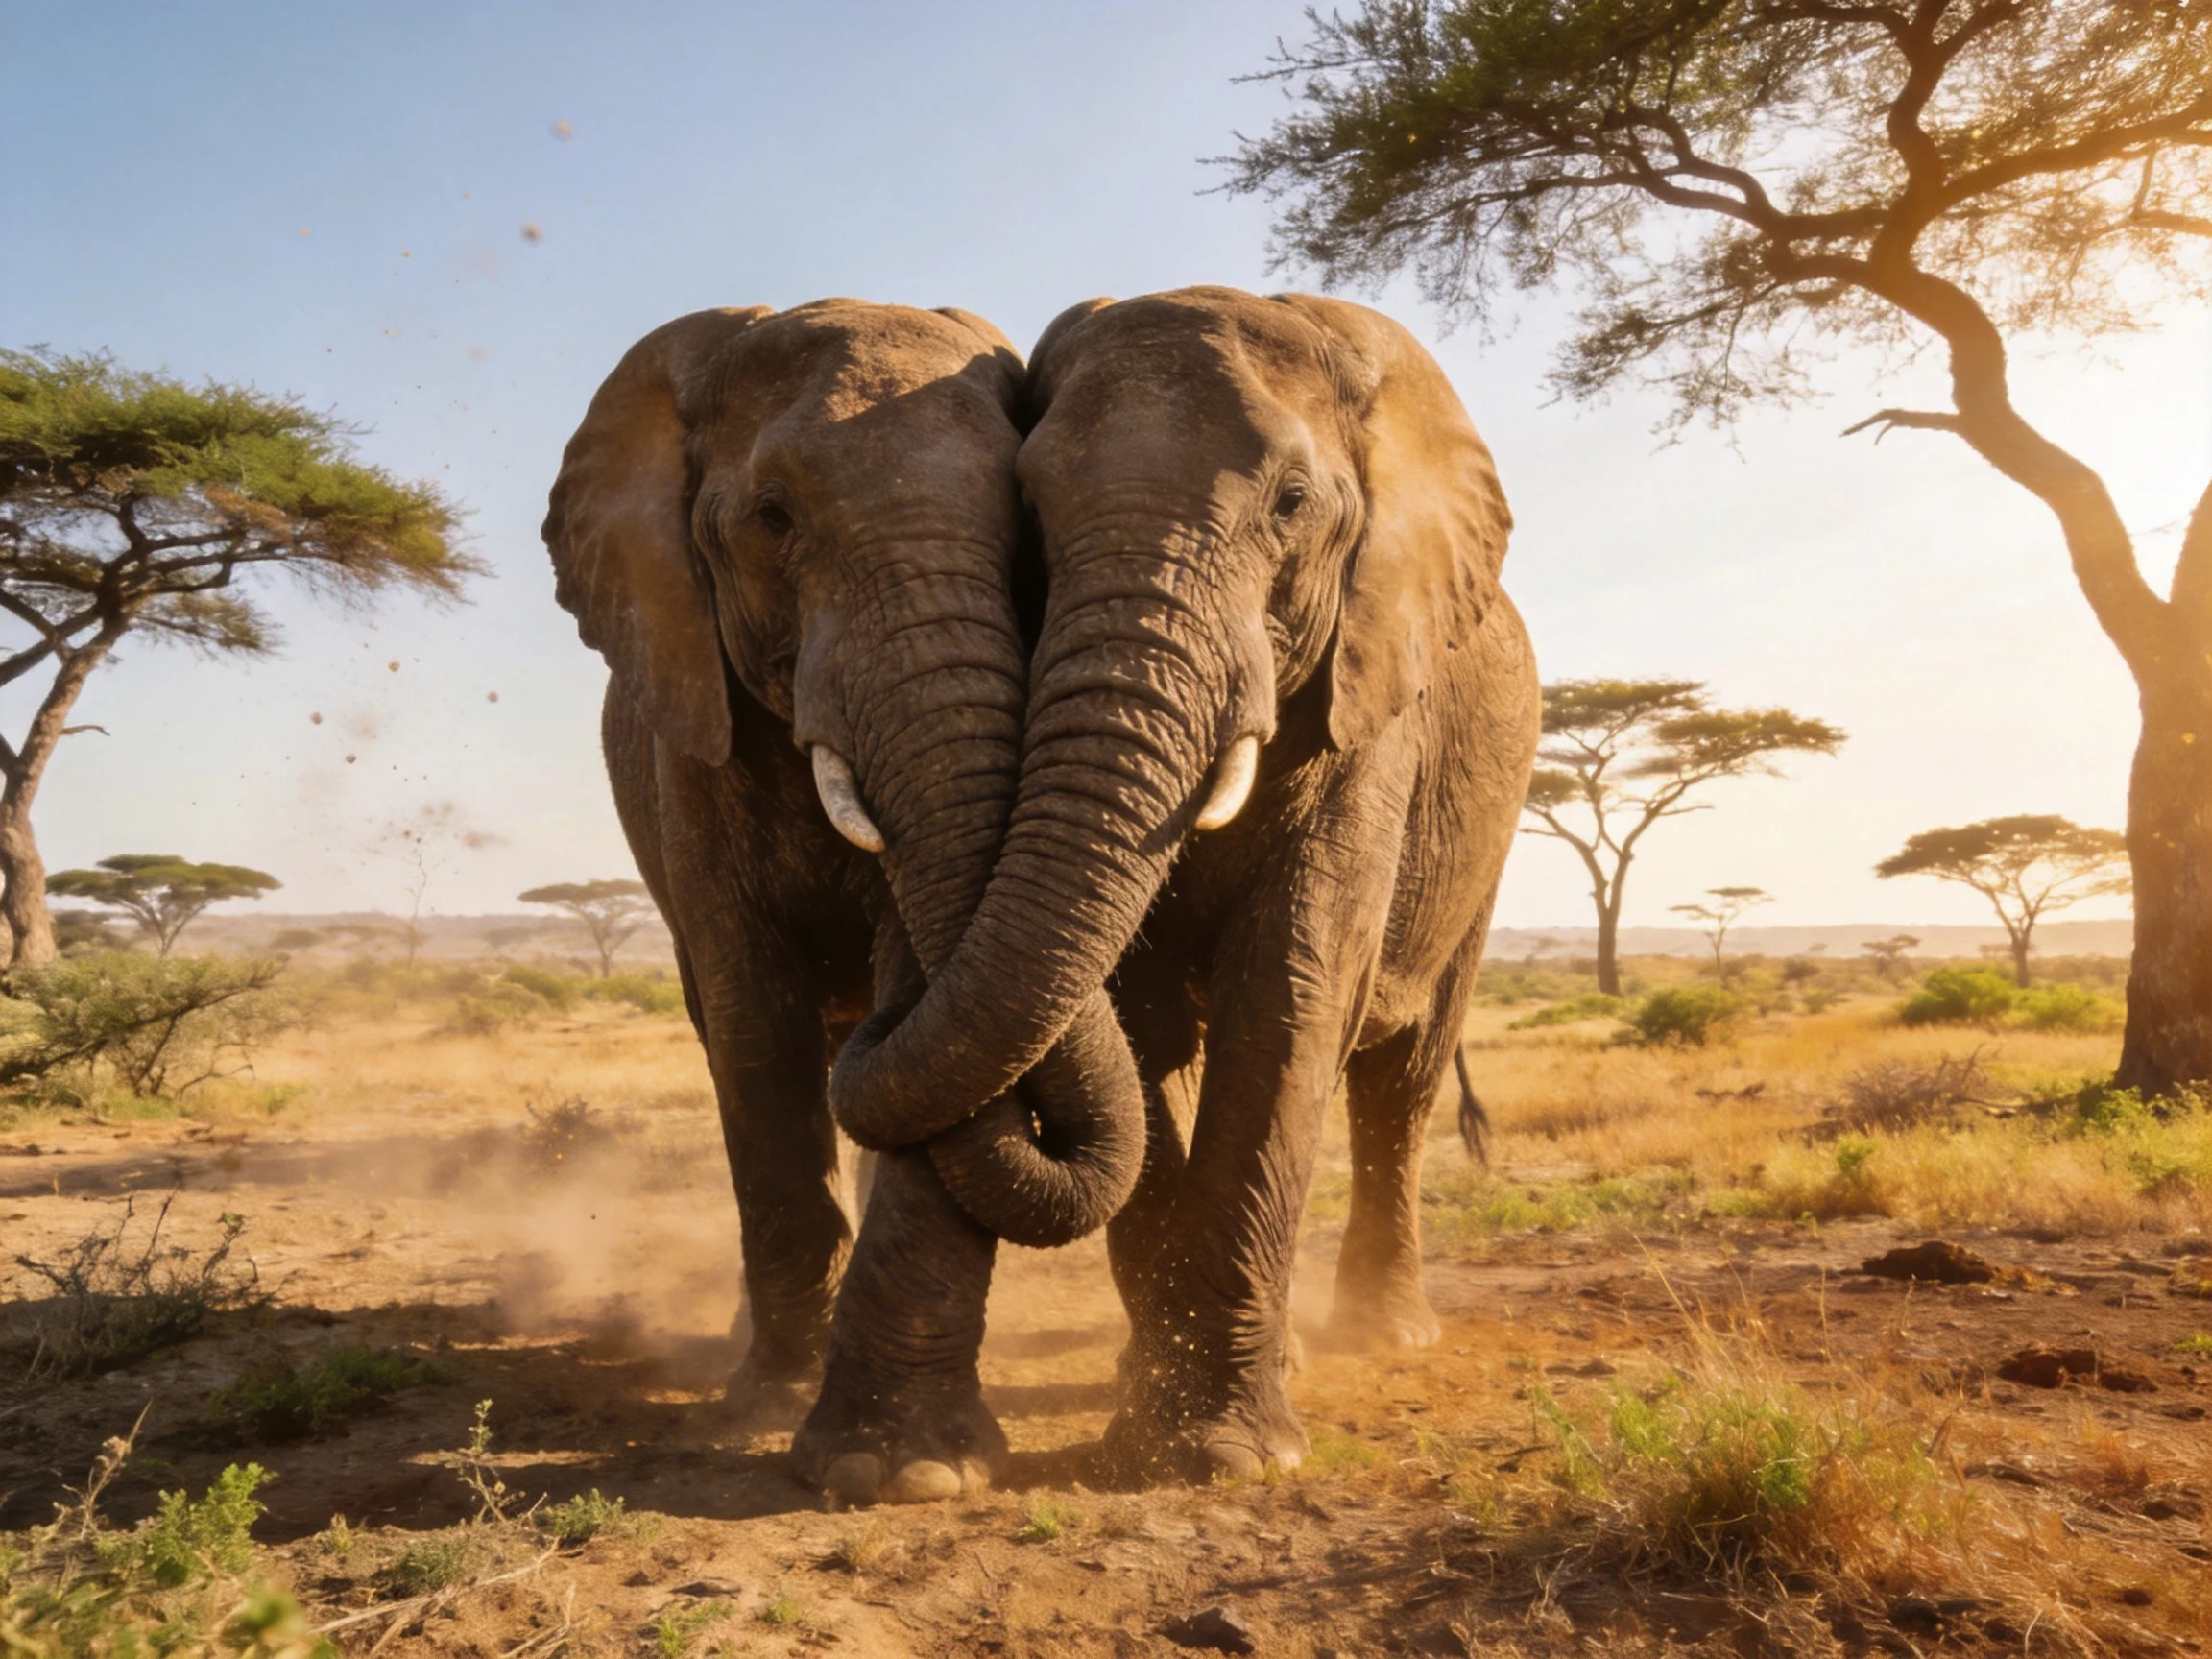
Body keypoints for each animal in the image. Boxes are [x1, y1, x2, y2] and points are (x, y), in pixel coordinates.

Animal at [542, 300, 1143, 1506]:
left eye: (1027, 533)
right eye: (773, 519)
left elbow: (907, 976)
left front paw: (907, 1471)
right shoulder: (690, 738)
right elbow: (755, 1034)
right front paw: (764, 1408)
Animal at [829, 286, 1541, 1481]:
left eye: (1293, 503)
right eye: (1030, 509)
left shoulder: (1371, 694)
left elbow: (1292, 995)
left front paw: (1226, 1456)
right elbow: (1137, 1020)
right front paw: (1169, 1419)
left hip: (1485, 828)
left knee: (1401, 1075)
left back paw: (1386, 1335)